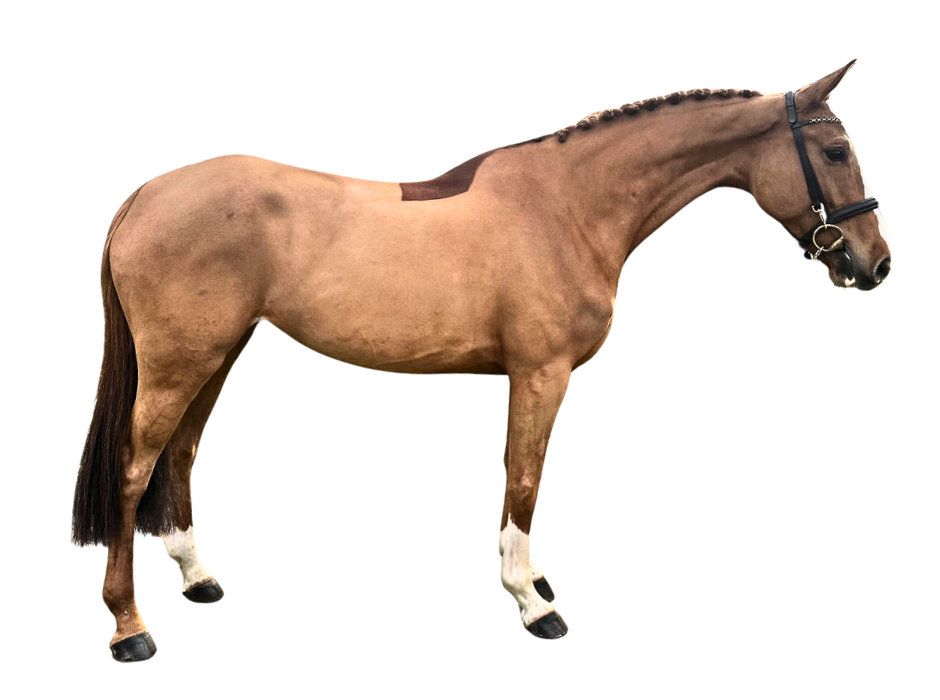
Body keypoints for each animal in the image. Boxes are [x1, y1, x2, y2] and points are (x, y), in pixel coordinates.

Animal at [71, 58, 892, 661]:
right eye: (833, 151)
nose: (875, 263)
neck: (567, 208)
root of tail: (146, 195)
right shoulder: (540, 374)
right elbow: (524, 482)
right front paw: (532, 601)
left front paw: (536, 585)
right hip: (181, 362)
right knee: (135, 467)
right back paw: (131, 628)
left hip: (221, 352)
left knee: (181, 452)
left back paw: (198, 579)